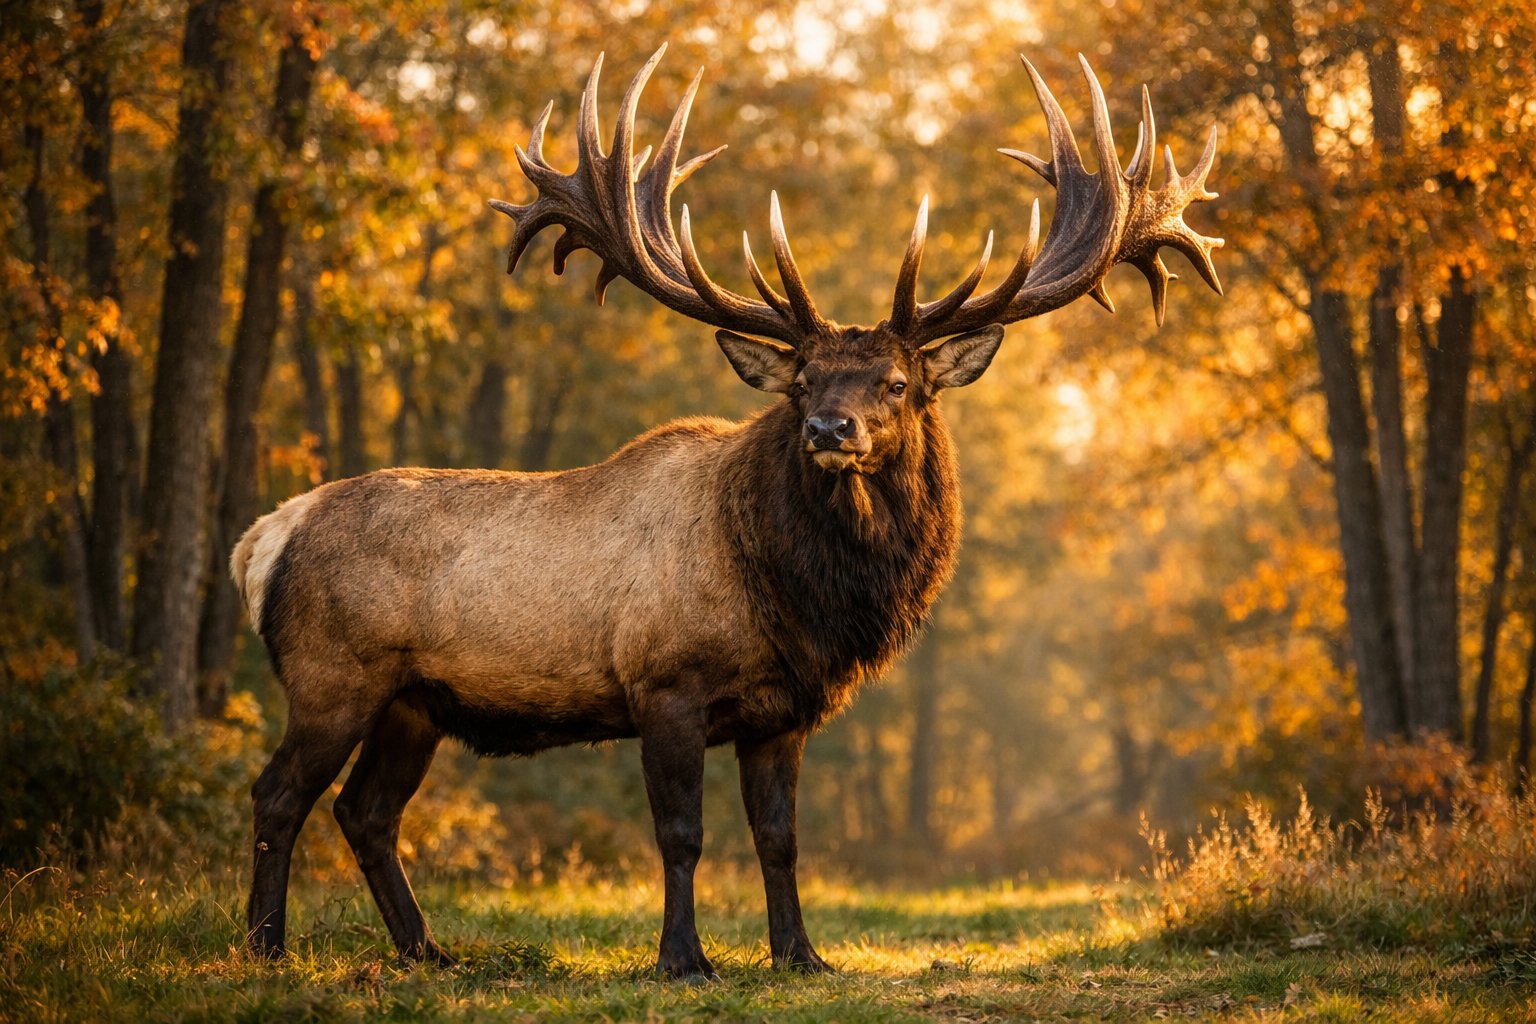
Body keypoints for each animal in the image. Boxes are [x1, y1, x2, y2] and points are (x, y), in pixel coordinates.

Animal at [232, 44, 1221, 980]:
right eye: (804, 381)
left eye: (897, 382)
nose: (829, 428)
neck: (796, 599)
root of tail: (263, 539)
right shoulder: (664, 683)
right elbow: (683, 836)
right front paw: (683, 959)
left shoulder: (783, 712)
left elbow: (779, 840)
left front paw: (801, 954)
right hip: (331, 675)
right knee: (280, 794)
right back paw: (266, 946)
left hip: (413, 703)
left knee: (366, 811)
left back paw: (425, 950)